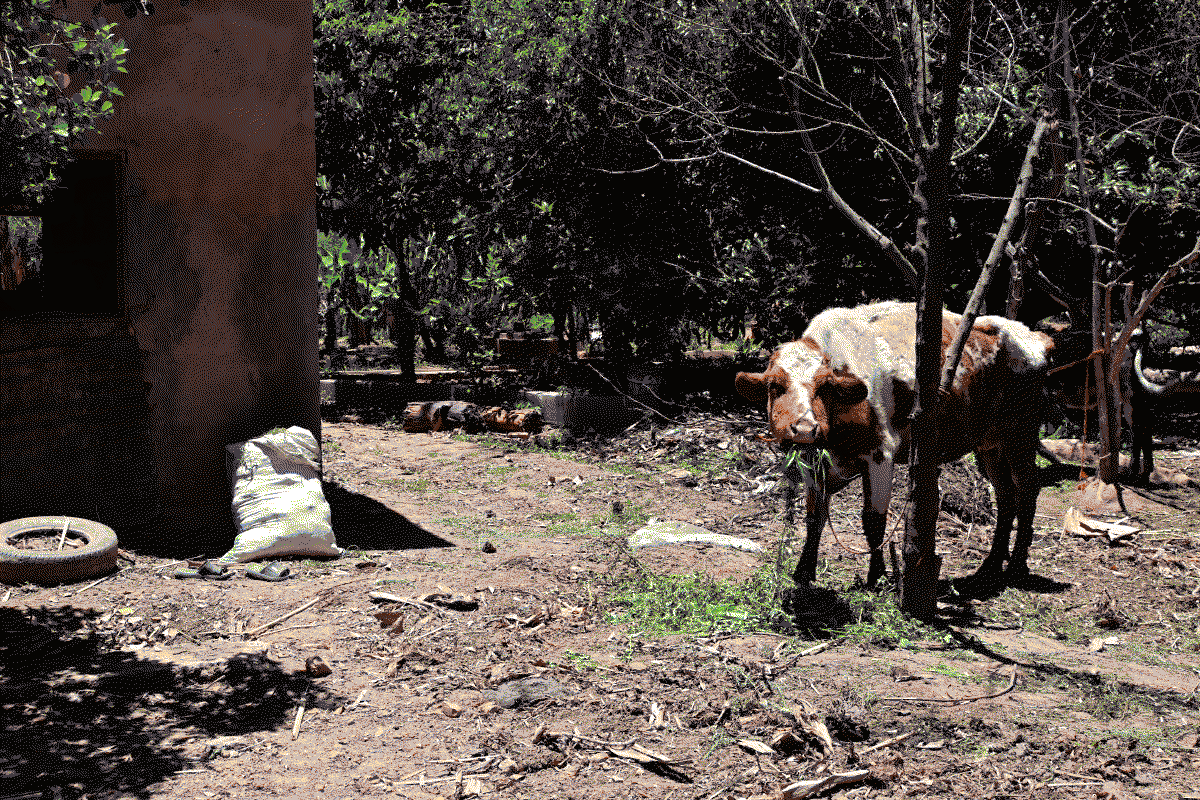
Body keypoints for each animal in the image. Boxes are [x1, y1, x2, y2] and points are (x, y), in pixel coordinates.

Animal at [735, 301, 1054, 589]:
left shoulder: (880, 455)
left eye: (824, 386)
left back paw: (1016, 566)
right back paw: (990, 566)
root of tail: (1034, 336)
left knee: (1027, 489)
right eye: (774, 386)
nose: (804, 428)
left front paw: (877, 577)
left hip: (1020, 436)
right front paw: (803, 572)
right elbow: (815, 517)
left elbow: (873, 521)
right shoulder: (814, 463)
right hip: (989, 445)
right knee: (1006, 496)